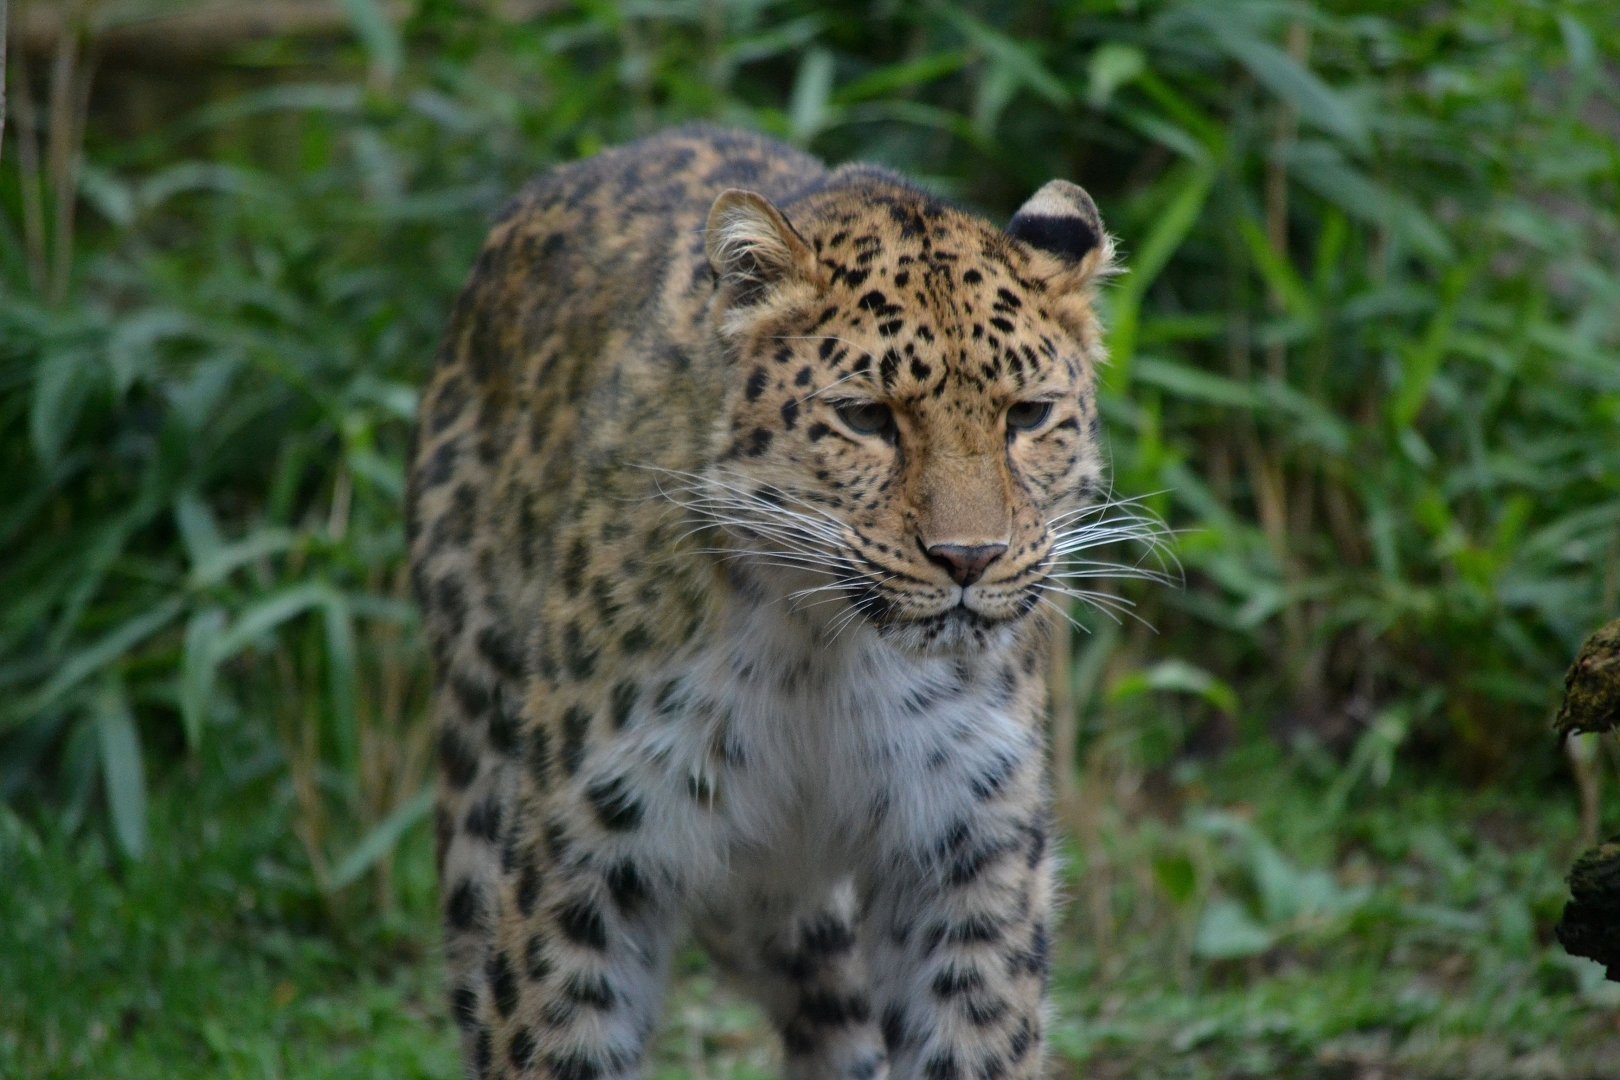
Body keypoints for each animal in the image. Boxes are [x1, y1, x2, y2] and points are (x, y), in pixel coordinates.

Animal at [407, 125, 1124, 1080]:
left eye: (1029, 415)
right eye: (867, 418)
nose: (970, 558)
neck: (823, 649)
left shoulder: (966, 853)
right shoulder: (585, 860)